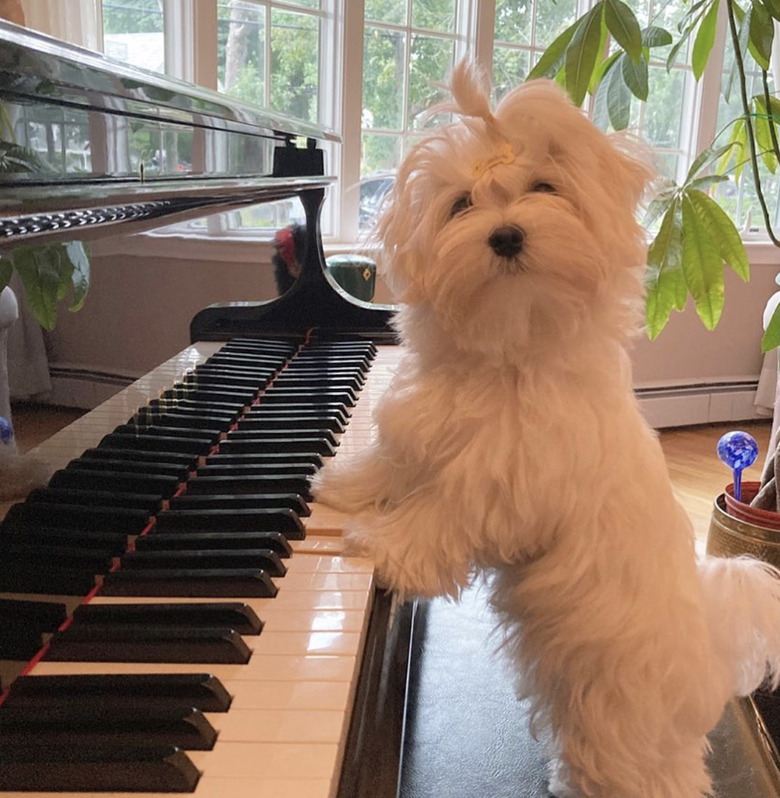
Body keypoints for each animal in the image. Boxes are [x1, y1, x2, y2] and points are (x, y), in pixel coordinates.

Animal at [314, 62, 780, 798]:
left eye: (545, 189)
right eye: (461, 205)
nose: (507, 235)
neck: (513, 347)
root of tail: (710, 654)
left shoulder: (500, 487)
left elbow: (437, 517)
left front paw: (381, 545)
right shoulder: (425, 430)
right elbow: (392, 463)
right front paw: (342, 487)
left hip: (622, 713)